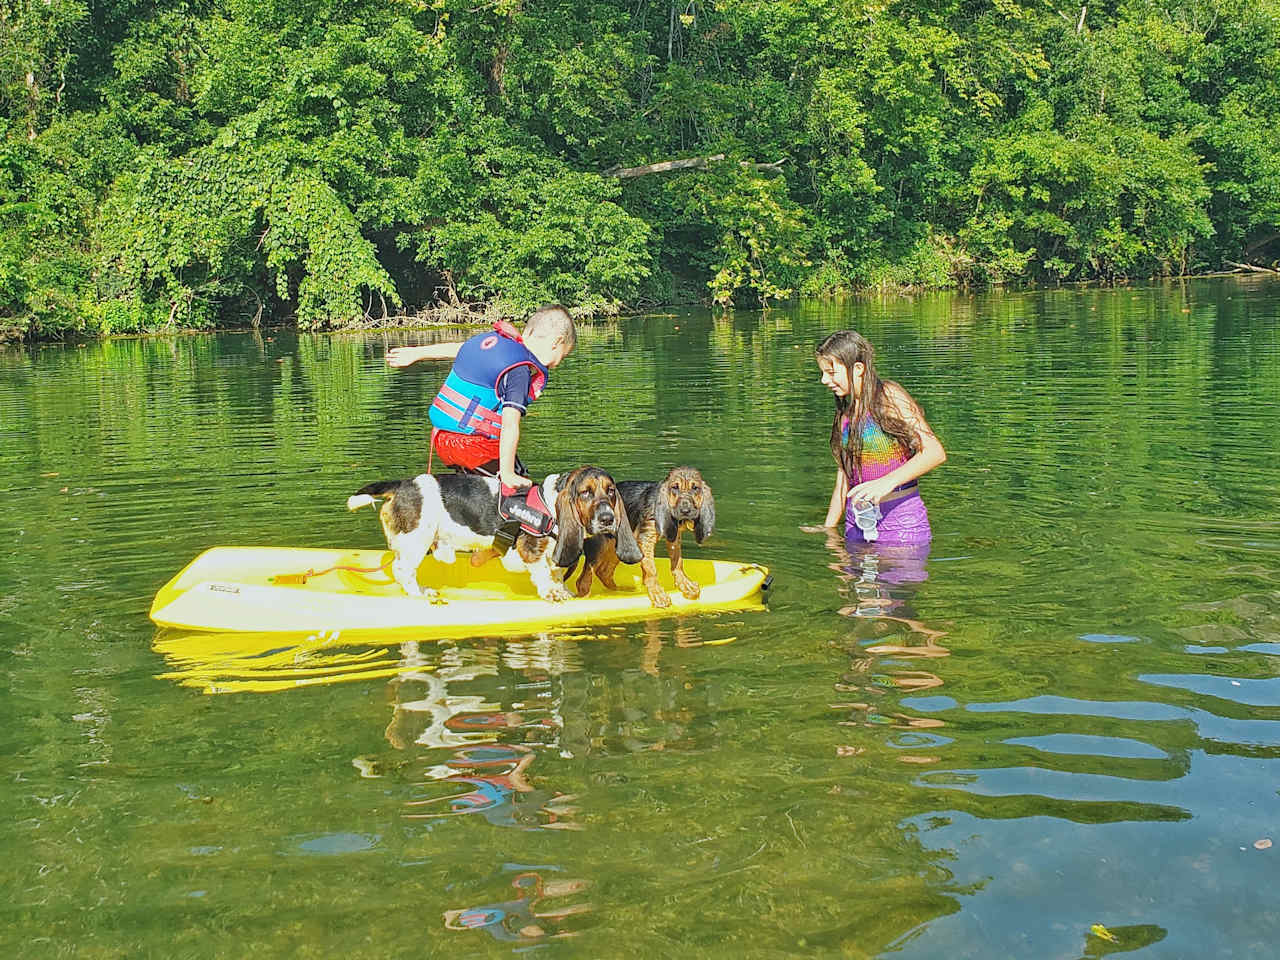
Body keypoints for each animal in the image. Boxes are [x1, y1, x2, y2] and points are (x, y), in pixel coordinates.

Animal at [350, 465, 640, 601]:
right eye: (585, 493)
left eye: (610, 491)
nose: (607, 519)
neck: (551, 505)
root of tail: (401, 485)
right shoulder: (531, 552)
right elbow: (543, 574)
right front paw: (551, 594)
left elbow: (556, 574)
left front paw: (563, 591)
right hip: (417, 539)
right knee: (402, 570)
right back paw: (419, 593)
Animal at [576, 465, 716, 609]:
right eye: (674, 487)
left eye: (695, 488)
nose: (685, 511)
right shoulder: (645, 539)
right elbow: (651, 569)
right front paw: (658, 594)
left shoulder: (674, 538)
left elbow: (677, 562)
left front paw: (686, 585)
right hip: (600, 546)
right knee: (583, 580)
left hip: (621, 548)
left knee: (604, 572)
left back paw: (622, 591)